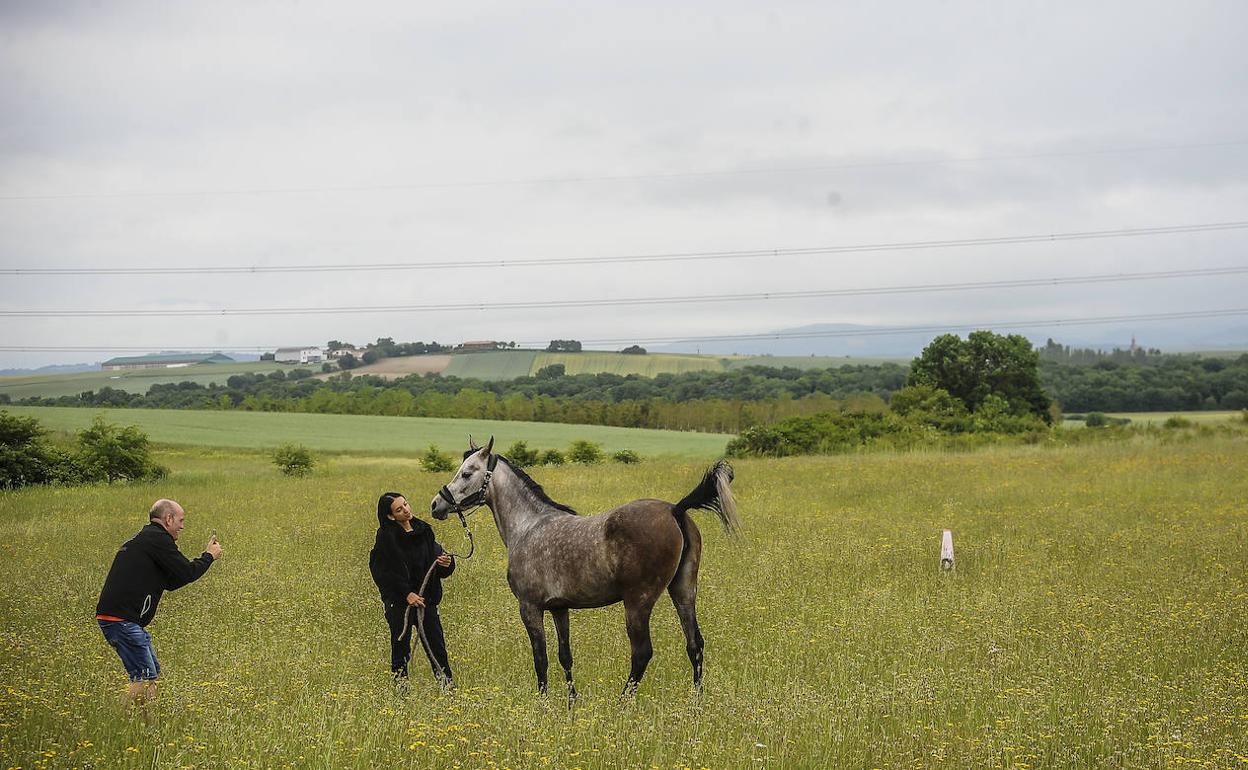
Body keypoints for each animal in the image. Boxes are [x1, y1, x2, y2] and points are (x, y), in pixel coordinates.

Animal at [431, 439, 733, 698]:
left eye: (467, 473)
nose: (437, 504)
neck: (529, 527)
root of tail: (675, 510)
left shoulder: (530, 607)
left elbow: (540, 658)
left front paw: (543, 702)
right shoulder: (559, 608)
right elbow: (565, 656)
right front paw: (571, 702)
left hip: (638, 602)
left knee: (642, 653)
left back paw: (621, 703)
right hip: (683, 591)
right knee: (695, 644)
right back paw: (696, 702)